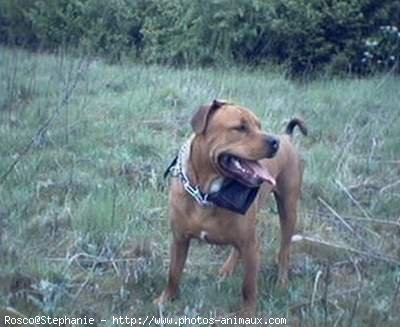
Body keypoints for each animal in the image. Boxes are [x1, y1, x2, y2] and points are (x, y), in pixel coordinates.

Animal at [155, 100, 308, 316]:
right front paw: (166, 299)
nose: (274, 142)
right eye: (240, 128)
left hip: (288, 209)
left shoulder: (251, 246)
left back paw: (282, 281)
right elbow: (174, 273)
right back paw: (227, 269)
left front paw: (248, 313)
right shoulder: (179, 239)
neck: (208, 193)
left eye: (259, 126)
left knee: (284, 249)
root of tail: (286, 137)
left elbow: (249, 286)